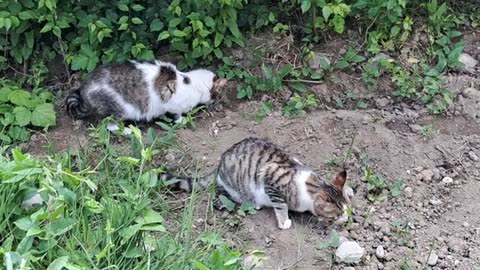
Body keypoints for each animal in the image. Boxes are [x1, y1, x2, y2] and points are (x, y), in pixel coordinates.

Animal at [65, 59, 227, 125]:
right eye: (218, 95)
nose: (217, 102)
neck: (192, 82)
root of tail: (83, 90)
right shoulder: (173, 105)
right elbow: (177, 115)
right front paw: (182, 120)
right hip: (117, 110)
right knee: (110, 126)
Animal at [165, 137, 352, 230]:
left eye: (346, 207)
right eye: (337, 213)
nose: (346, 217)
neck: (311, 186)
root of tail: (220, 164)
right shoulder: (271, 180)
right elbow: (281, 205)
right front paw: (284, 222)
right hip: (235, 186)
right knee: (220, 194)